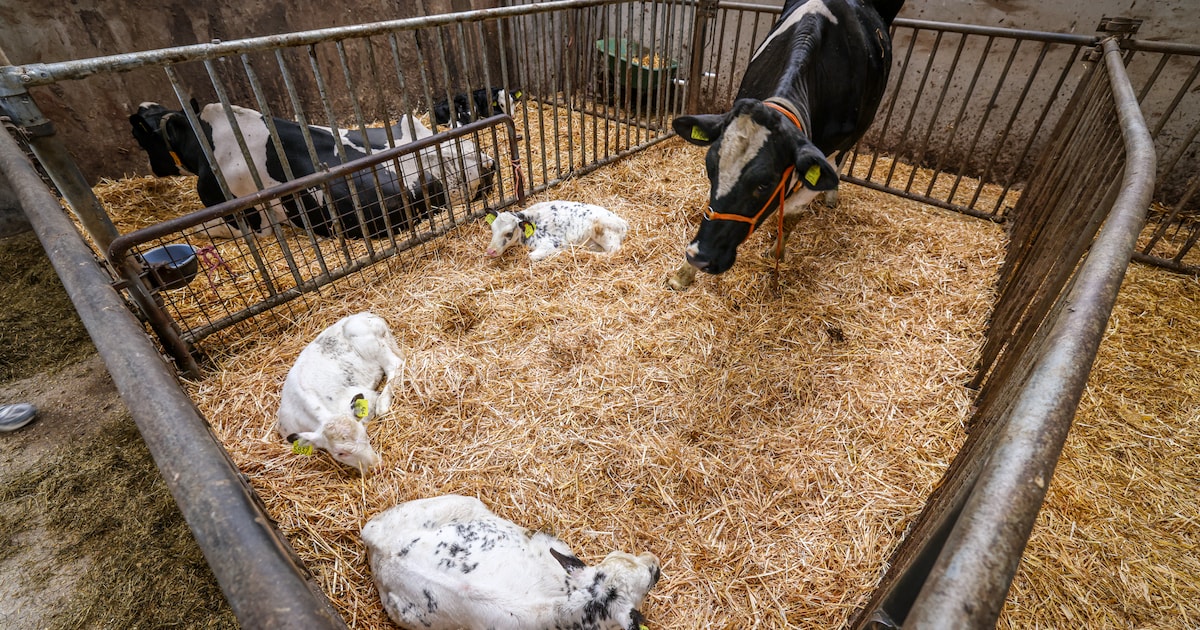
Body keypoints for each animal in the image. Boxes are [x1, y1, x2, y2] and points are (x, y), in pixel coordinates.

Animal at [276, 312, 404, 474]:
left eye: (365, 434)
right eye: (340, 453)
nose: (377, 466)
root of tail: (368, 315)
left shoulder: (366, 397)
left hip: (370, 344)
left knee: (395, 364)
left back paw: (383, 404)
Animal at [484, 201, 629, 261]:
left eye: (509, 233)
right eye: (493, 229)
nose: (490, 251)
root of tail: (623, 223)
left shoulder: (553, 242)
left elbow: (530, 256)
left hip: (601, 230)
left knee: (614, 251)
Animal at [667, 0, 904, 290]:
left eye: (764, 184)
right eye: (710, 169)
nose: (700, 257)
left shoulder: (828, 154)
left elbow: (793, 212)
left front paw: (777, 251)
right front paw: (683, 273)